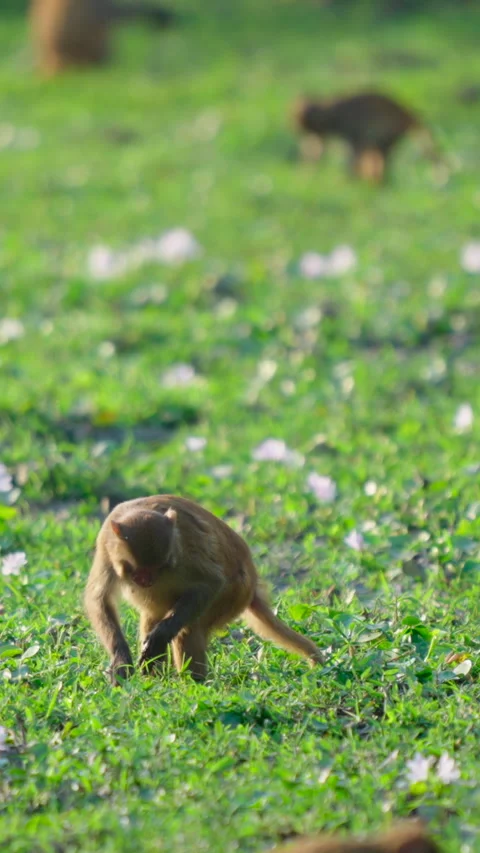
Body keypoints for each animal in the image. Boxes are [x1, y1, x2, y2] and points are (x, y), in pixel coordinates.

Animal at [84, 495, 324, 683]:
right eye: (139, 572)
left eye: (161, 567)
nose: (147, 582)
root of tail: (252, 586)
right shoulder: (105, 544)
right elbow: (100, 600)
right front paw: (121, 659)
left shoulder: (183, 550)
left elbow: (211, 583)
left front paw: (159, 638)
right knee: (153, 617)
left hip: (233, 594)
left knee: (189, 628)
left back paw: (192, 684)